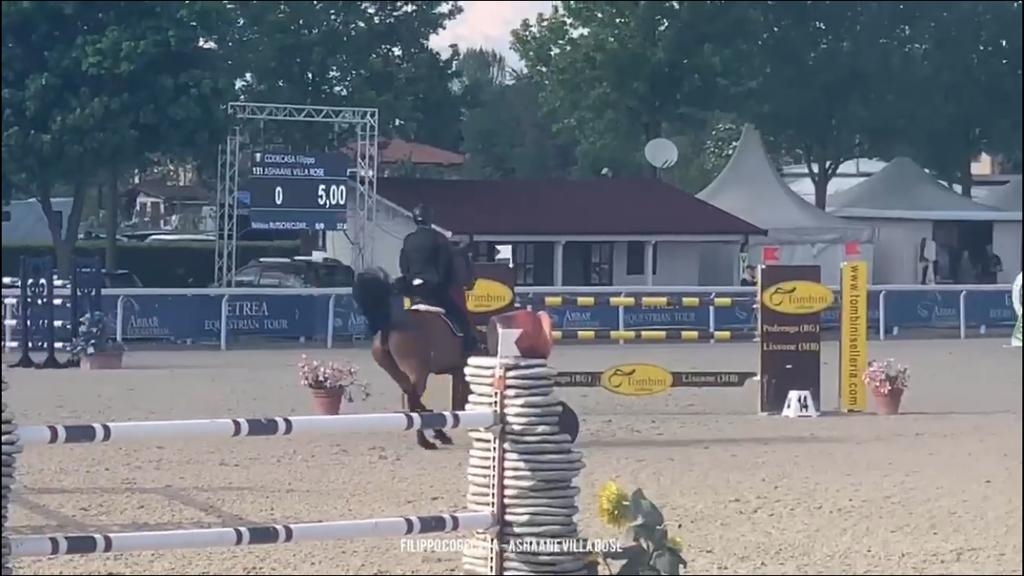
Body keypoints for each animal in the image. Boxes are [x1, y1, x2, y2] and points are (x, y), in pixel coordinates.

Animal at [351, 244, 482, 450]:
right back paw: (426, 441)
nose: (473, 280)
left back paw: (437, 433)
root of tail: (389, 324)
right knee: (414, 398)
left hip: (397, 371)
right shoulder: (461, 368)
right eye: (467, 261)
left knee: (412, 396)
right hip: (417, 370)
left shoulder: (455, 369)